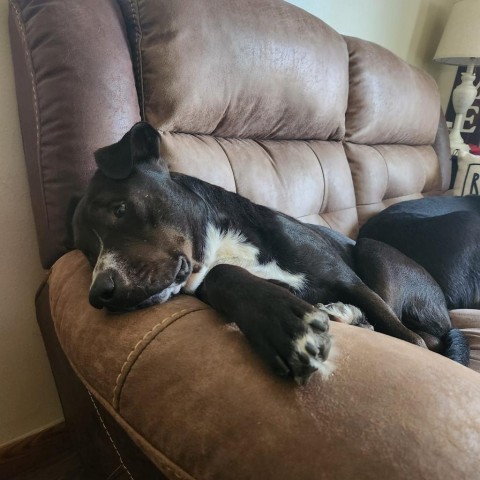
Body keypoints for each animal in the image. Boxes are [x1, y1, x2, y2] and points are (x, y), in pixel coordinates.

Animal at [73, 123, 470, 382]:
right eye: (88, 254)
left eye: (120, 209)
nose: (99, 293)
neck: (223, 243)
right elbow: (226, 277)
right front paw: (278, 321)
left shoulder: (352, 283)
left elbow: (408, 340)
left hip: (374, 253)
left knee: (420, 335)